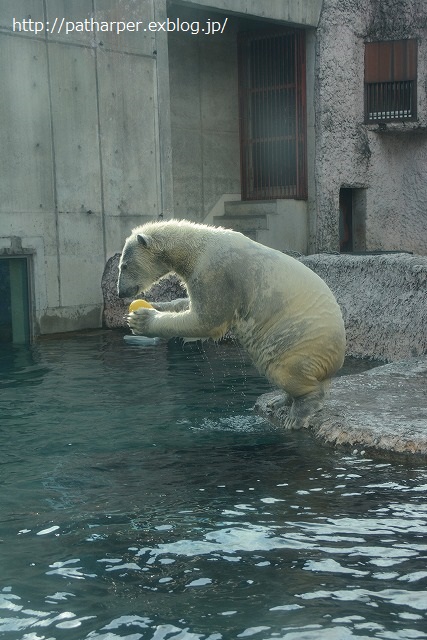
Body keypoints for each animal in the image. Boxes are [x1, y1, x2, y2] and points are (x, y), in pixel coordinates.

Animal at [117, 220, 348, 430]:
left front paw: (142, 319)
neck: (197, 248)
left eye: (124, 265)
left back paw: (298, 412)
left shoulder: (216, 274)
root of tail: (333, 363)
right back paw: (278, 401)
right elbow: (188, 306)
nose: (120, 292)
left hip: (297, 343)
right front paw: (155, 304)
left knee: (286, 371)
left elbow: (206, 320)